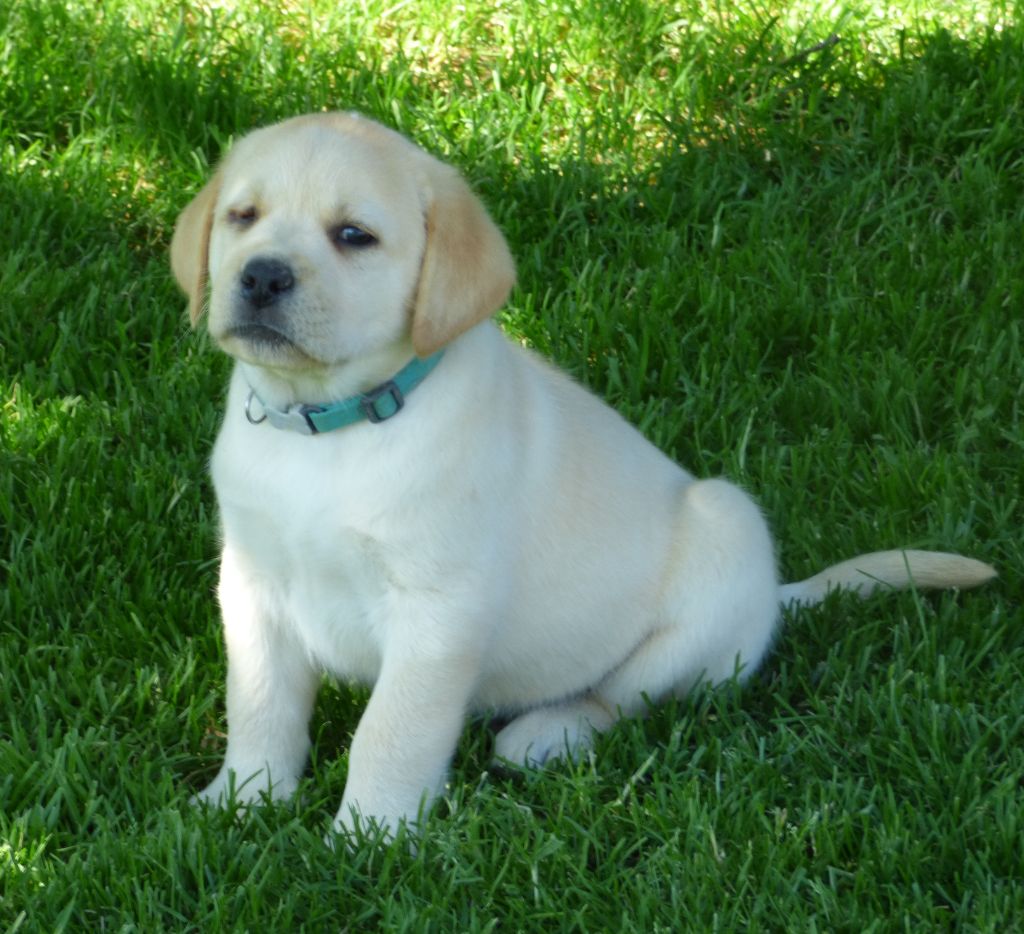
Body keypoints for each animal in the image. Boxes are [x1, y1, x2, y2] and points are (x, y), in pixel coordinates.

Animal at [172, 111, 995, 839]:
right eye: (243, 216)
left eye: (353, 235)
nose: (262, 276)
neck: (332, 424)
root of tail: (773, 597)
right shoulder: (251, 583)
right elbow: (260, 705)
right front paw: (242, 801)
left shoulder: (439, 609)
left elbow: (393, 730)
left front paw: (367, 838)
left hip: (719, 552)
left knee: (619, 701)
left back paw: (544, 735)